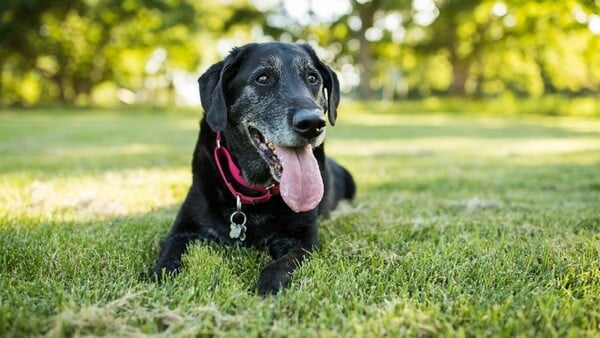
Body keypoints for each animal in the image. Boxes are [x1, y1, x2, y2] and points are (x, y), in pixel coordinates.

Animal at [152, 42, 354, 296]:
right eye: (262, 78)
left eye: (312, 78)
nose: (312, 124)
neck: (253, 191)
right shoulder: (183, 228)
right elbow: (168, 256)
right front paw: (163, 276)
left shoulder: (305, 239)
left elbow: (282, 264)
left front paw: (267, 288)